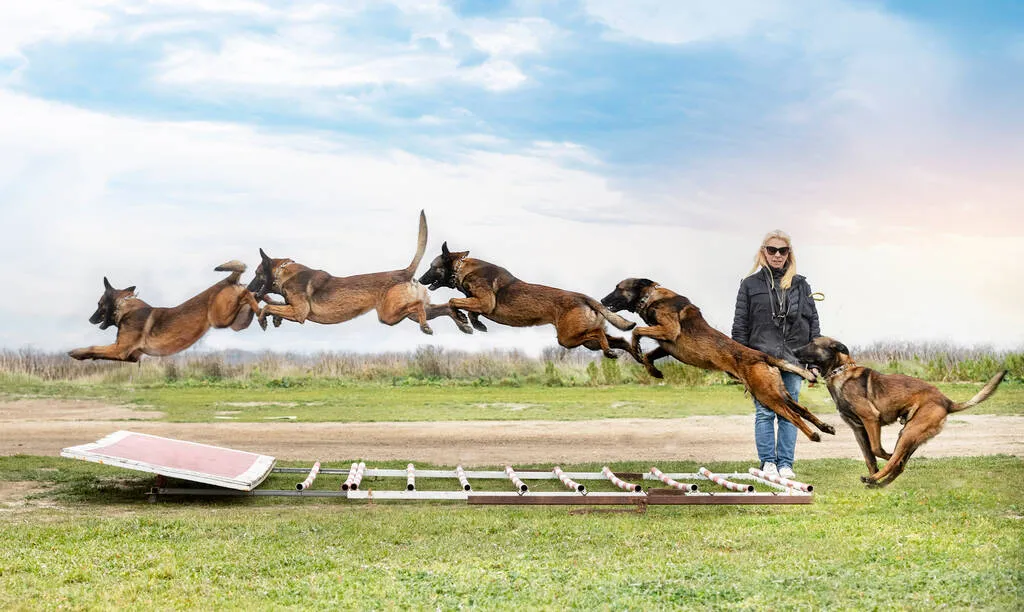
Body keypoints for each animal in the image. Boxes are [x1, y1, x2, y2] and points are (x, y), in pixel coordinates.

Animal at [68, 260, 258, 362]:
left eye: (99, 304)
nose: (90, 319)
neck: (124, 306)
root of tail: (228, 280)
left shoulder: (120, 349)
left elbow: (94, 347)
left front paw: (76, 352)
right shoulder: (131, 356)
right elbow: (99, 352)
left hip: (220, 318)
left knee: (247, 294)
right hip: (237, 323)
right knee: (249, 297)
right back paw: (263, 309)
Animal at [247, 210, 471, 335]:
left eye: (257, 274)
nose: (248, 289)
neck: (283, 273)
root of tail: (404, 273)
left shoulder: (299, 313)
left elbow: (268, 307)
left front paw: (264, 319)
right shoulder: (292, 308)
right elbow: (274, 305)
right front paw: (274, 319)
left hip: (389, 314)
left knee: (417, 306)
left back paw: (428, 327)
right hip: (407, 314)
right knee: (441, 308)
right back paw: (462, 322)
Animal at [415, 243, 638, 360]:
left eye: (431, 267)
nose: (419, 279)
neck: (462, 268)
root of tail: (583, 297)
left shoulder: (485, 302)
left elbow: (454, 300)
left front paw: (463, 320)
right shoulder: (479, 302)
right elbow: (468, 308)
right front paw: (474, 323)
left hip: (568, 337)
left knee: (599, 333)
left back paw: (615, 352)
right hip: (585, 341)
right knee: (619, 340)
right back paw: (635, 354)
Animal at [598, 280, 831, 444]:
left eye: (618, 288)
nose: (601, 300)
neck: (651, 297)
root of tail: (762, 356)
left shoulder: (669, 330)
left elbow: (637, 330)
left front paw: (636, 347)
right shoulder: (666, 345)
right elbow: (648, 355)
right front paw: (653, 370)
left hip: (767, 394)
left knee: (793, 415)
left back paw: (814, 435)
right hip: (778, 392)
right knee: (803, 409)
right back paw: (826, 427)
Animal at [794, 337, 1003, 487]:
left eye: (813, 343)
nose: (793, 350)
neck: (840, 372)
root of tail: (947, 401)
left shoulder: (871, 419)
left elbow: (877, 450)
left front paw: (884, 460)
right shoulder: (858, 429)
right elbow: (869, 457)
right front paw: (874, 474)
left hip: (909, 432)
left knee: (897, 460)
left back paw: (876, 477)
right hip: (910, 432)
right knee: (900, 465)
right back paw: (878, 482)